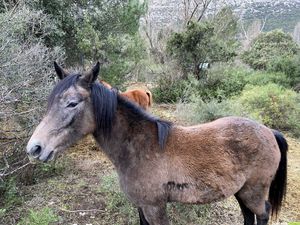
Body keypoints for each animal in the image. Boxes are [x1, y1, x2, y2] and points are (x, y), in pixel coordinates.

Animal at [27, 62, 288, 225]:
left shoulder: (155, 208)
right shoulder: (142, 206)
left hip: (254, 192)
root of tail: (269, 132)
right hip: (241, 191)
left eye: (72, 103)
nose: (34, 148)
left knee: (261, 214)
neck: (140, 148)